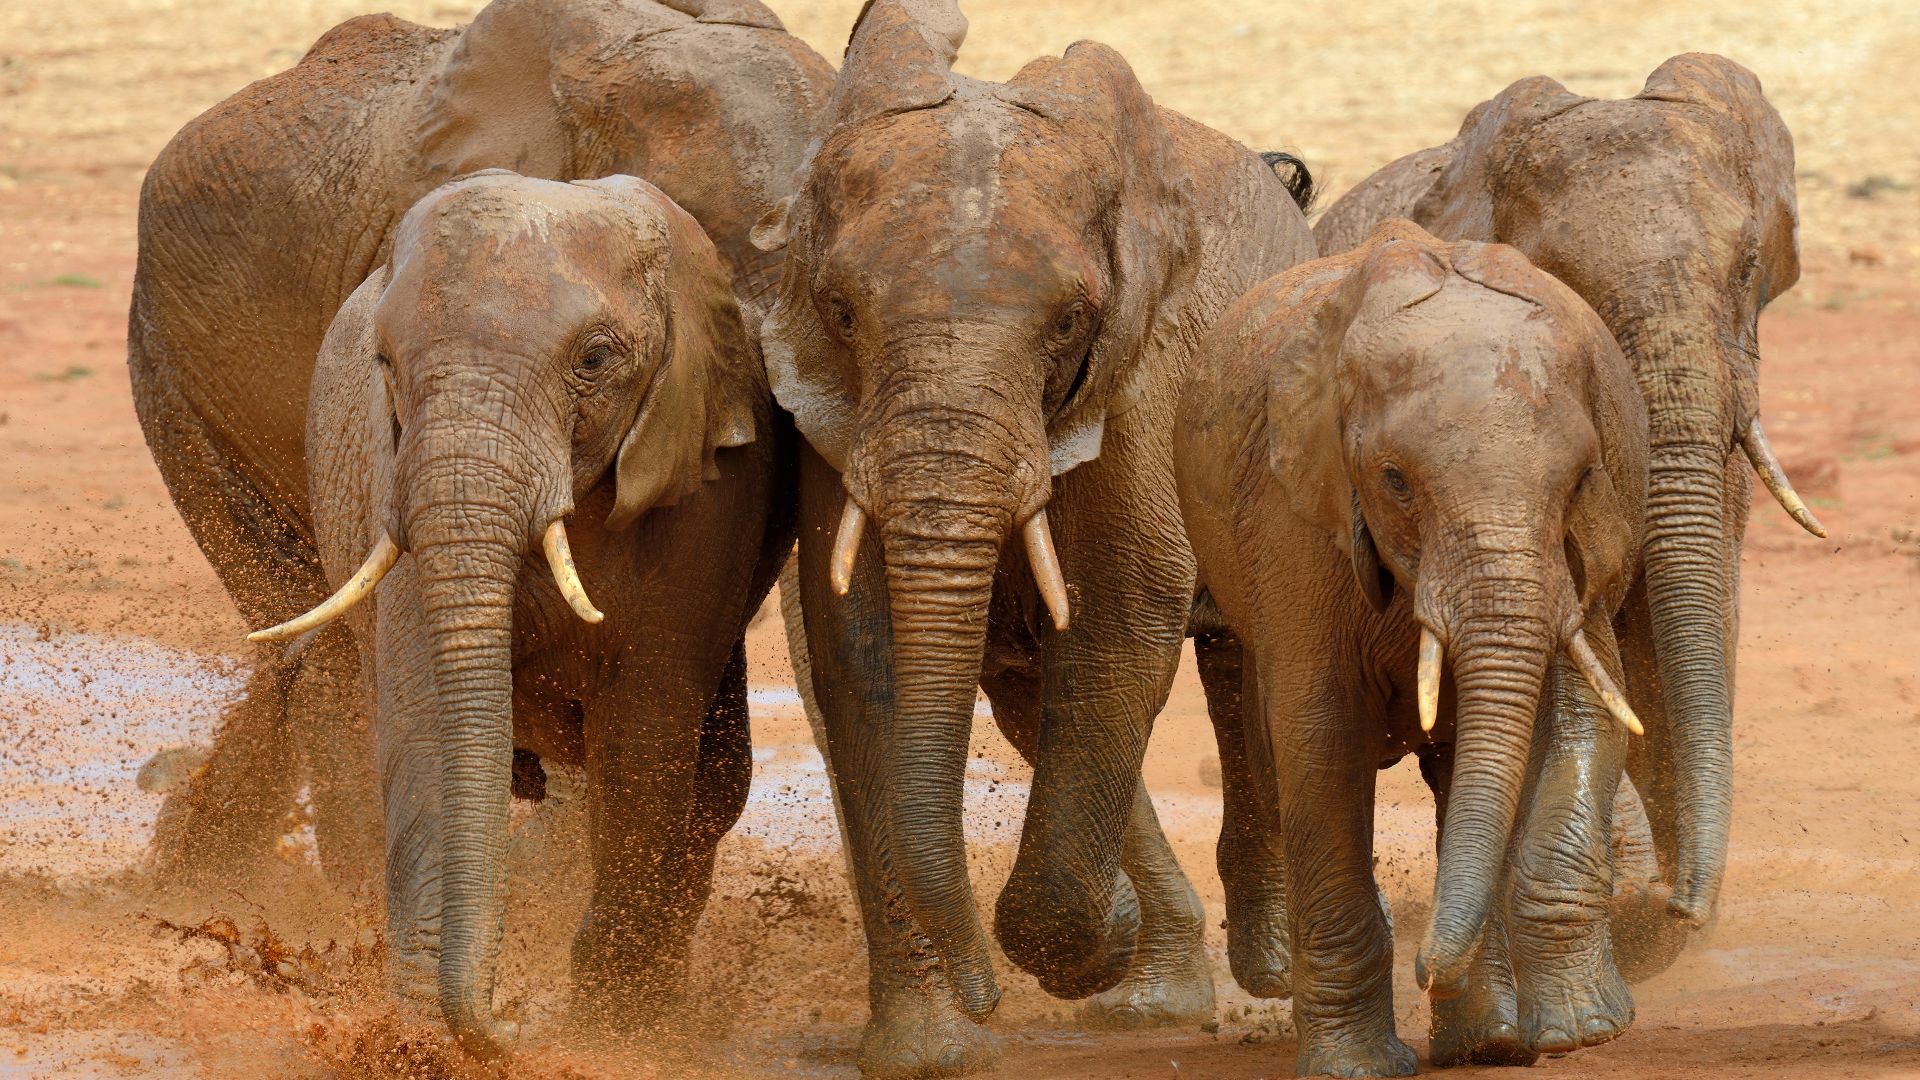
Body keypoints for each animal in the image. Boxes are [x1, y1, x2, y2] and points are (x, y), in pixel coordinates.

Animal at [263, 169, 787, 1055]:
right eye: (385, 363)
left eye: (594, 361)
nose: (512, 1019)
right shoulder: (396, 480)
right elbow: (427, 721)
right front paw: (421, 1045)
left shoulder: (708, 490)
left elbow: (646, 733)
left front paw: (614, 1029)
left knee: (713, 784)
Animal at [750, 1, 1317, 1072]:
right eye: (840, 311)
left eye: (1069, 324)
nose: (985, 1003)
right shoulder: (828, 417)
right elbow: (857, 646)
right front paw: (947, 1040)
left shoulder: (1142, 377)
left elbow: (1124, 619)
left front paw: (1079, 947)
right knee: (1032, 699)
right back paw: (1154, 994)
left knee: (1248, 659)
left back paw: (1273, 971)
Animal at [1176, 220, 1651, 1075]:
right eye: (1395, 480)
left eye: (1581, 479)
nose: (1428, 966)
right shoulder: (1296, 515)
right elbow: (1319, 736)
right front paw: (1355, 1067)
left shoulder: (1589, 544)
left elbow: (1586, 710)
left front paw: (1582, 1030)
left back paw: (1488, 1040)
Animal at [1311, 54, 1822, 981]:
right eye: (1562, 285)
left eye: (1746, 270)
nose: (1685, 904)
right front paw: (1645, 914)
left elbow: (1680, 629)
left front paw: (1662, 926)